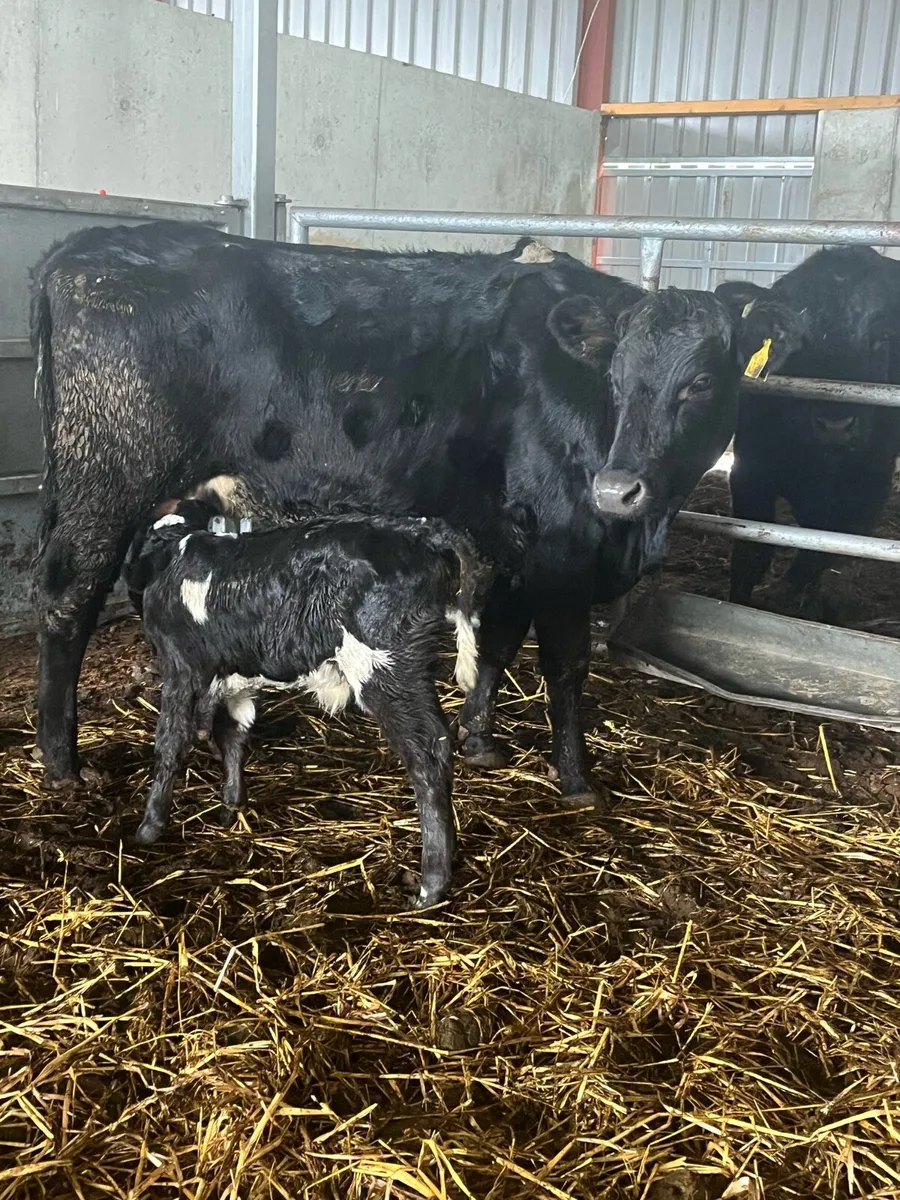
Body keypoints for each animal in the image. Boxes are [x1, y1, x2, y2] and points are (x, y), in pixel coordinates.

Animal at [31, 221, 740, 808]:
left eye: (704, 381)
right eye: (616, 379)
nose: (619, 487)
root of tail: (84, 248)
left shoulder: (512, 541)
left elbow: (499, 642)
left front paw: (479, 740)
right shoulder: (563, 543)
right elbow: (565, 666)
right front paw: (576, 779)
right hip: (105, 485)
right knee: (68, 603)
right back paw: (62, 763)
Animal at [124, 480, 492, 907]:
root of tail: (418, 529)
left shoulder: (179, 669)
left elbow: (171, 742)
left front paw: (150, 827)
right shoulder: (233, 675)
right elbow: (232, 734)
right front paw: (231, 803)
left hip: (383, 667)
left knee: (427, 755)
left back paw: (430, 884)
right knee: (440, 744)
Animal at [716, 246, 900, 619]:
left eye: (882, 339)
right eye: (800, 343)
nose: (835, 425)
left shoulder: (871, 482)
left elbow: (837, 554)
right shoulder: (750, 473)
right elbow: (752, 555)